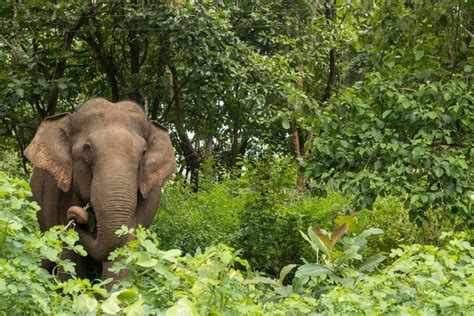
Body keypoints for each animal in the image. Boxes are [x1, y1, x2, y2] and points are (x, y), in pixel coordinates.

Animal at [24, 98, 177, 278]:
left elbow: (122, 248)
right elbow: (70, 255)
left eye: (144, 152)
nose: (76, 218)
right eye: (87, 148)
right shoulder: (58, 194)